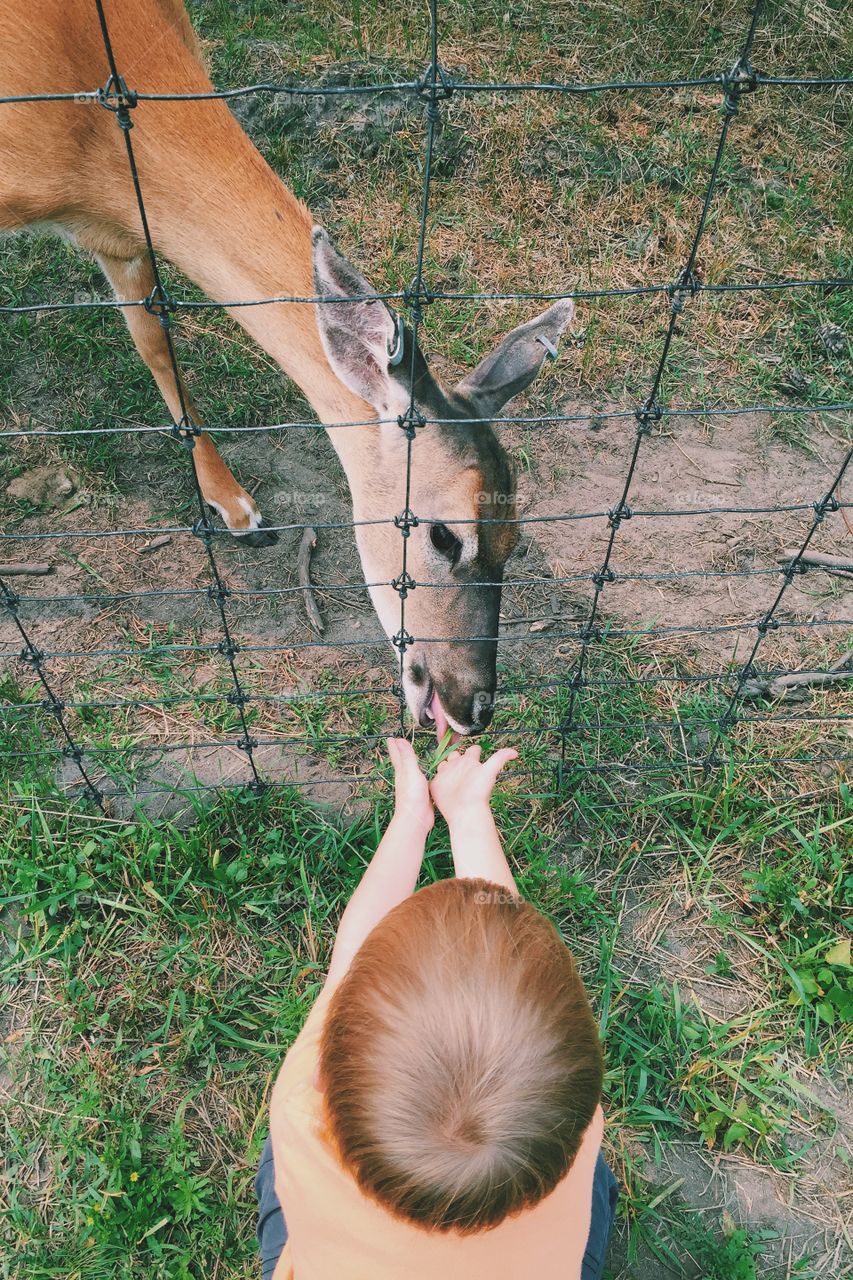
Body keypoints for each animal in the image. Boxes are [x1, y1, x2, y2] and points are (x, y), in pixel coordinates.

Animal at [1, 0, 571, 737]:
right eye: (445, 535)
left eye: (516, 537)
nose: (472, 705)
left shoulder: (124, 233)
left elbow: (154, 339)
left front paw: (236, 506)